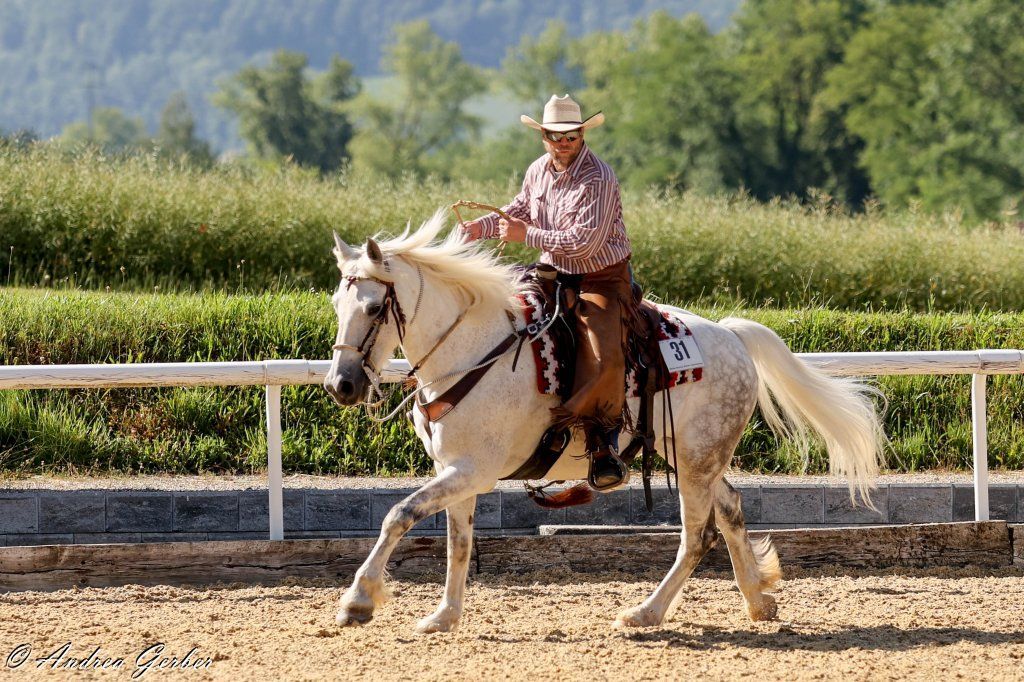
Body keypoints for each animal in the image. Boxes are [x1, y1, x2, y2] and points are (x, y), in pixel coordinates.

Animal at [324, 211, 885, 634]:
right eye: (334, 301)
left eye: (373, 306)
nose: (341, 385)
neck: (472, 352)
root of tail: (731, 335)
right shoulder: (457, 469)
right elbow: (457, 542)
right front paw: (443, 616)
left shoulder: (473, 470)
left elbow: (398, 515)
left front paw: (358, 601)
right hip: (690, 454)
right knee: (730, 508)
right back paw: (758, 599)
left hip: (697, 459)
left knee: (696, 535)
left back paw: (646, 612)